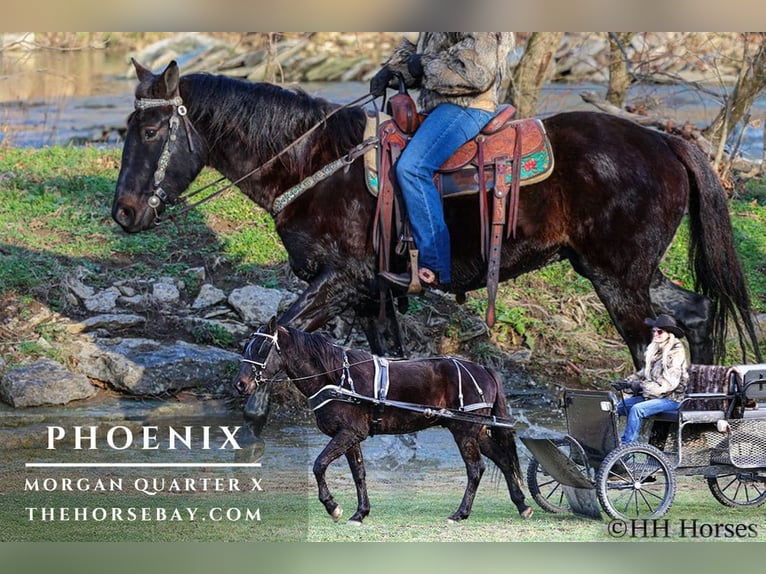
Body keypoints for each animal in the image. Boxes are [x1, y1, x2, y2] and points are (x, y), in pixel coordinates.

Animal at [112, 60, 762, 426]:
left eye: (153, 129)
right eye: (125, 129)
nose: (123, 213)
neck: (313, 163)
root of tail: (664, 140)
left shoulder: (341, 278)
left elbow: (273, 328)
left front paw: (253, 405)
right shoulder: (370, 293)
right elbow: (380, 365)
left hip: (617, 280)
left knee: (650, 345)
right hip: (628, 272)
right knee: (697, 313)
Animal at [234, 316, 533, 524]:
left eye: (262, 347)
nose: (241, 384)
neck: (336, 377)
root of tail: (483, 369)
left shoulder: (348, 433)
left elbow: (319, 466)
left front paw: (333, 507)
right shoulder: (351, 436)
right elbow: (359, 474)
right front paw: (360, 513)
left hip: (465, 431)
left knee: (475, 469)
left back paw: (460, 513)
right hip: (477, 432)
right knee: (503, 459)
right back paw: (522, 505)